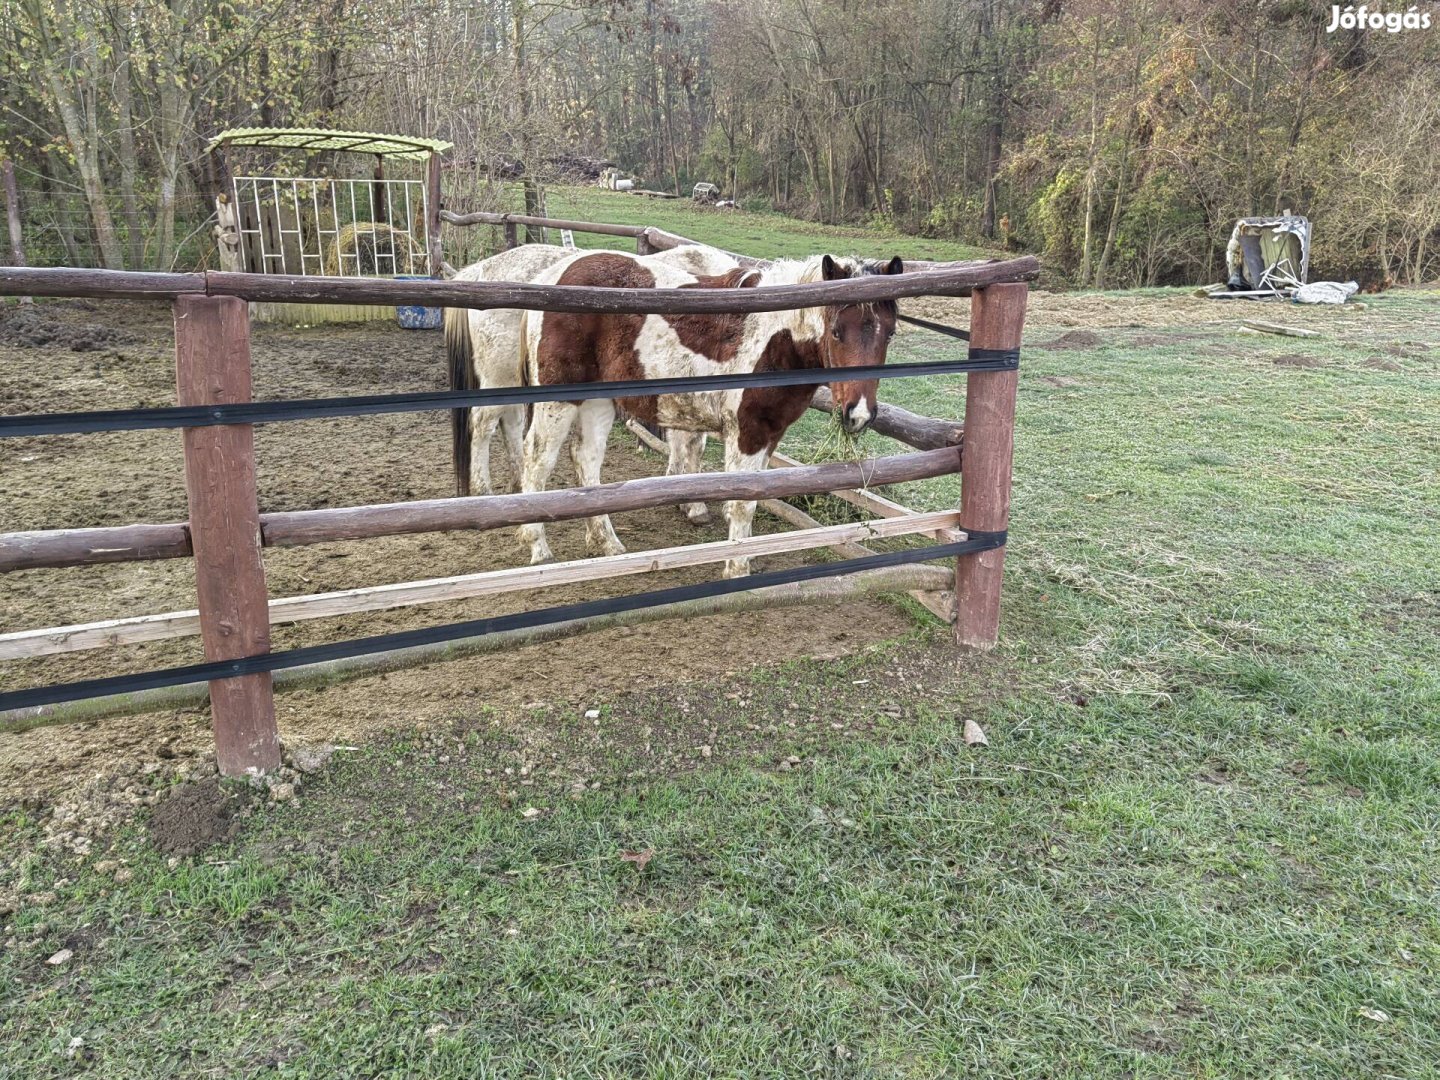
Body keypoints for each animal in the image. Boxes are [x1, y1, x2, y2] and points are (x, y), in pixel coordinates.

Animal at [518, 250, 898, 578]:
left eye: (890, 333)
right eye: (836, 331)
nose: (859, 414)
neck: (774, 339)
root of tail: (552, 275)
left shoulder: (771, 433)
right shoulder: (748, 431)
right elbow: (744, 502)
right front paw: (736, 569)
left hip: (597, 402)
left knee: (587, 461)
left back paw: (607, 543)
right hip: (558, 404)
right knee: (538, 460)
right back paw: (538, 549)